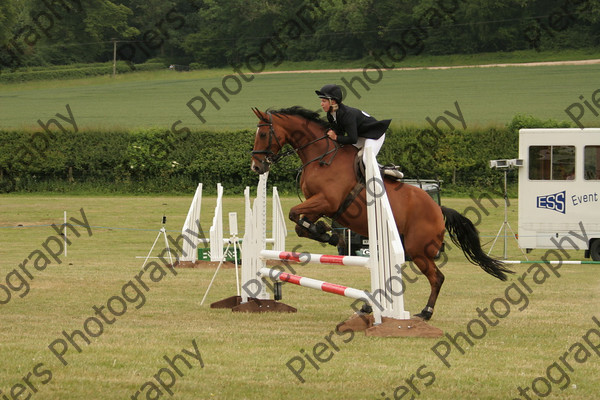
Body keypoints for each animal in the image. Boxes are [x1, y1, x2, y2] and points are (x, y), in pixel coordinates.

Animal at [248, 105, 510, 318]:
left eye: (263, 134)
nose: (256, 167)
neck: (321, 156)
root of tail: (438, 208)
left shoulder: (326, 201)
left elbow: (294, 214)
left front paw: (329, 235)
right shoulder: (318, 205)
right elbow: (299, 224)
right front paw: (327, 233)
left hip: (418, 249)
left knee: (437, 277)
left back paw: (424, 312)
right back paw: (371, 305)